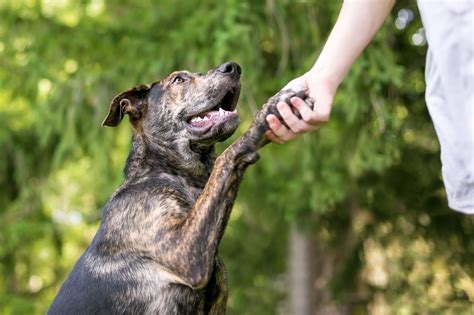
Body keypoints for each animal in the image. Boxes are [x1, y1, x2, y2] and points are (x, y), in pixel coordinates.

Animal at [48, 60, 312, 314]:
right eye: (179, 79)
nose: (233, 67)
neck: (171, 173)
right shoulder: (183, 251)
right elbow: (226, 156)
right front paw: (268, 113)